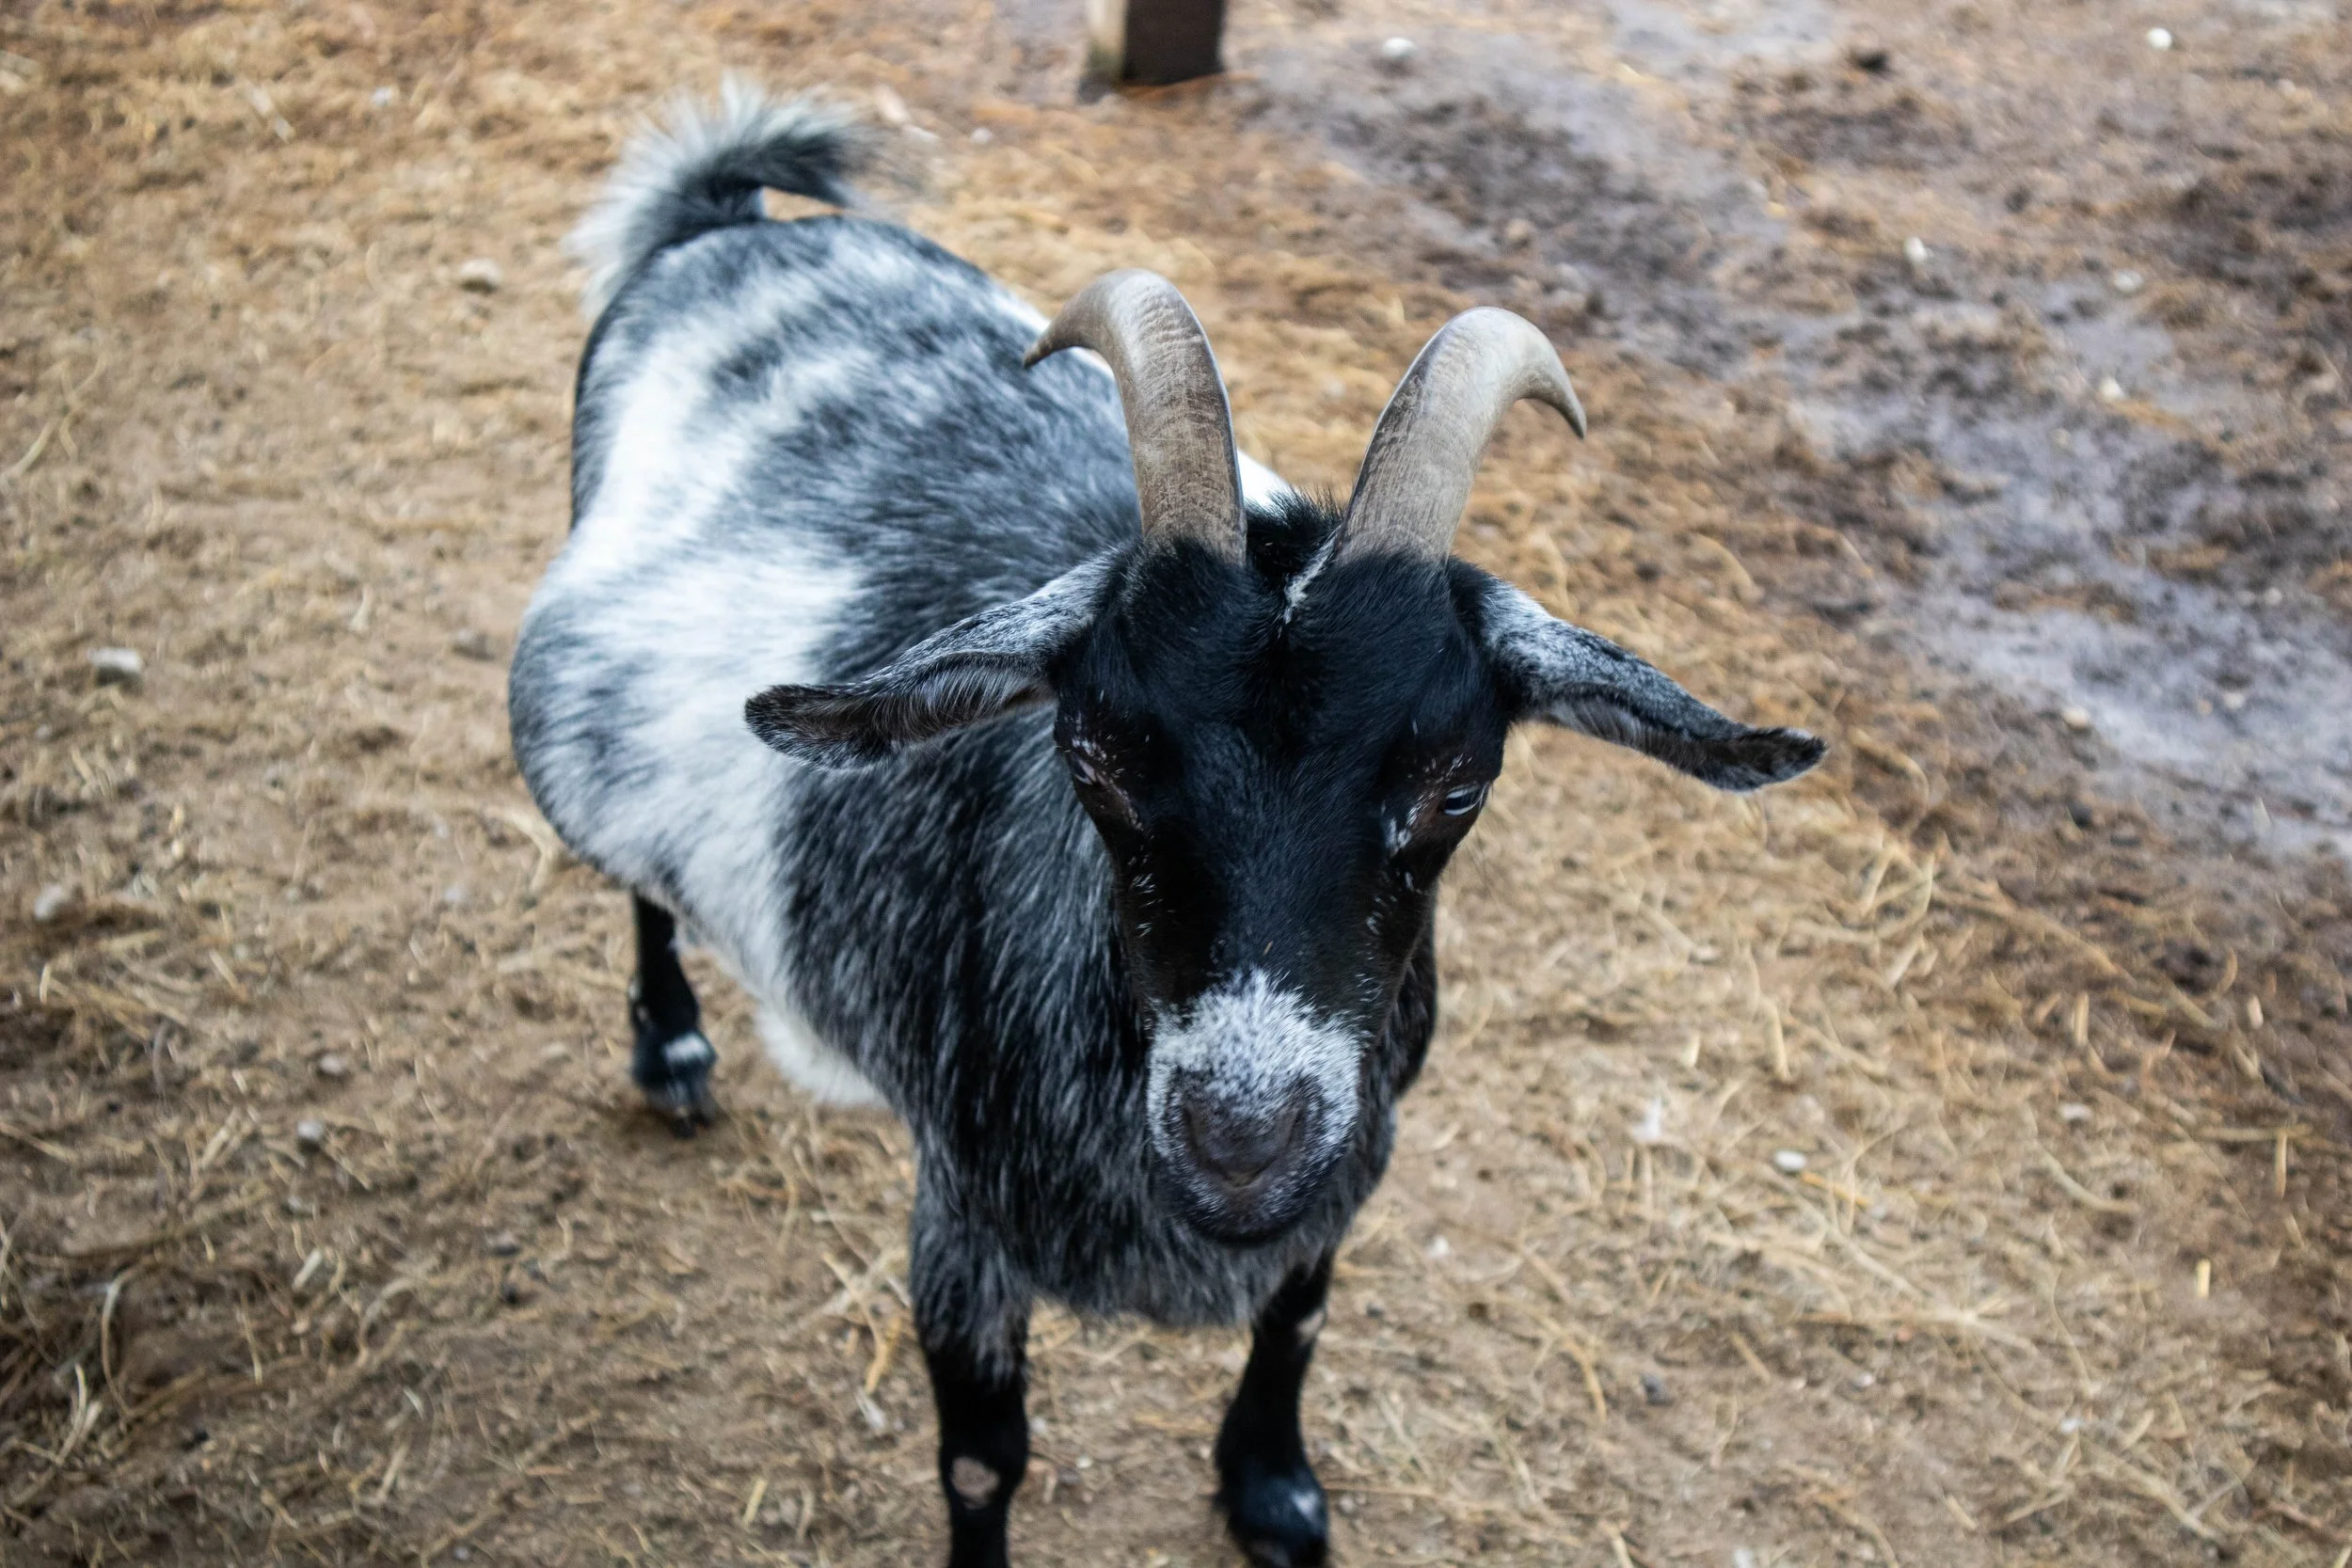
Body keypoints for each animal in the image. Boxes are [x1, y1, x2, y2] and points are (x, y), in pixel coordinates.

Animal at [509, 83, 1823, 1568]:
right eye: (1092, 754)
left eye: (1458, 784)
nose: (1241, 1143)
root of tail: (725, 222)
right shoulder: (962, 1212)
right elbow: (983, 1457)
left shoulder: (1351, 1159)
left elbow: (1300, 1314)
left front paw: (1271, 1486)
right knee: (638, 883)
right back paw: (670, 1044)